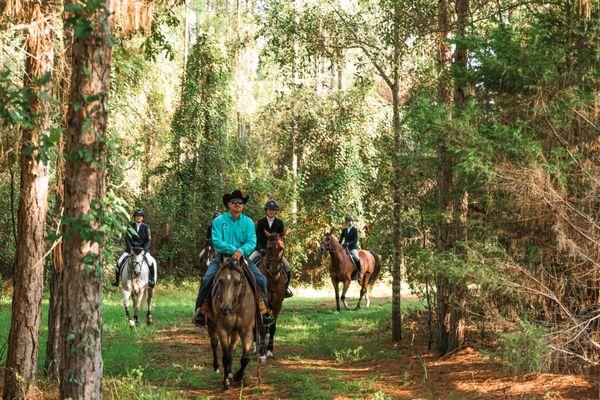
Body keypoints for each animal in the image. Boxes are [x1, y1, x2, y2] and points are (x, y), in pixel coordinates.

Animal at [207, 256, 256, 390]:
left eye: (238, 282)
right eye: (220, 280)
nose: (225, 309)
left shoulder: (246, 330)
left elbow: (245, 357)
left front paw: (238, 376)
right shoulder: (222, 329)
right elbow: (226, 357)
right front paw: (226, 382)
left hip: (235, 332)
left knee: (232, 348)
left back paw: (230, 372)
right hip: (211, 325)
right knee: (214, 343)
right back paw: (217, 368)